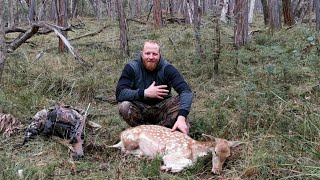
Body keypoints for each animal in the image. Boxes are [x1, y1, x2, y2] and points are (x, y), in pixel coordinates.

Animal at [111, 125, 241, 173]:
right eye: (215, 152)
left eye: (228, 155)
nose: (217, 171)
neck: (194, 150)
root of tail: (121, 136)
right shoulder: (169, 155)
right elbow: (189, 163)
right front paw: (167, 167)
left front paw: (168, 168)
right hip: (131, 142)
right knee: (124, 150)